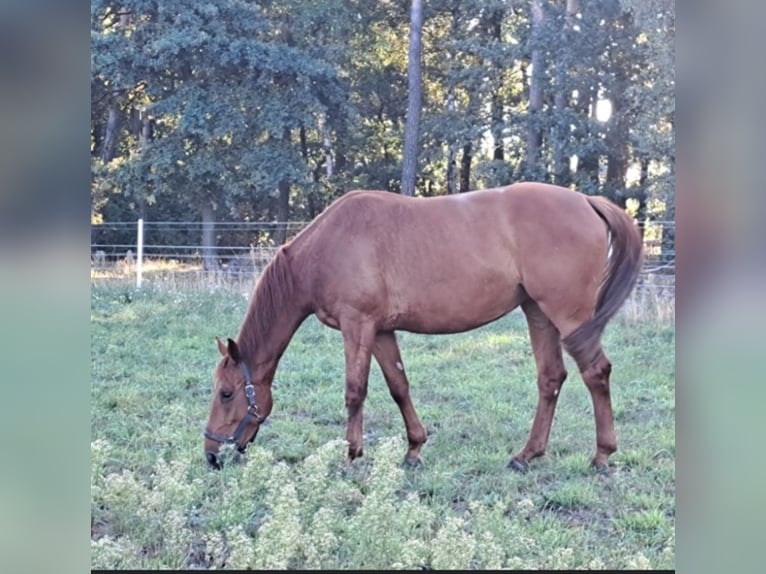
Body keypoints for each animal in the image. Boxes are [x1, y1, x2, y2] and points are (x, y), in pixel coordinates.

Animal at [203, 182, 643, 474]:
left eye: (226, 393)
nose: (211, 454)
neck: (325, 248)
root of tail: (586, 201)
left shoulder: (357, 325)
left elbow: (355, 392)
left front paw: (351, 455)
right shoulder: (380, 331)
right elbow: (399, 387)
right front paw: (414, 449)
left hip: (568, 316)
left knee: (596, 373)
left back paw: (602, 455)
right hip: (538, 313)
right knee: (551, 378)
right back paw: (527, 455)